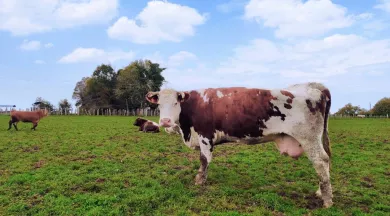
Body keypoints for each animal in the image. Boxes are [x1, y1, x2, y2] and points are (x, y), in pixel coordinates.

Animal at [145, 82, 334, 208]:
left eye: (176, 103)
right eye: (159, 104)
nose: (165, 121)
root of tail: (313, 86)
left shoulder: (205, 136)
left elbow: (204, 160)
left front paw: (199, 181)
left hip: (308, 138)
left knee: (321, 161)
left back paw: (327, 200)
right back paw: (320, 192)